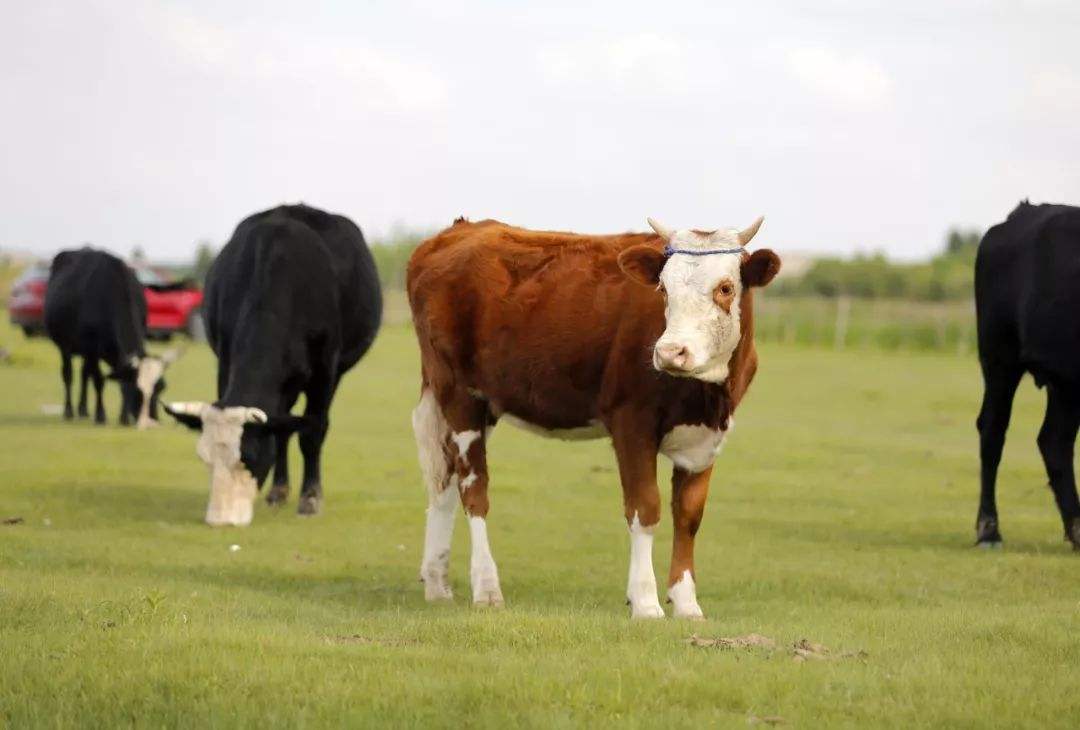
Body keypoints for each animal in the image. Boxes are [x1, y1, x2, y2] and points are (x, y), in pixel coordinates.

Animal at [43, 248, 177, 427]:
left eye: (160, 388)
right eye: (139, 391)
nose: (152, 419)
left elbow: (119, 382)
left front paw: (123, 417)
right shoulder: (91, 349)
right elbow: (99, 380)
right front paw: (101, 415)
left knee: (84, 374)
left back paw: (83, 409)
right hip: (64, 346)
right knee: (68, 375)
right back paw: (69, 411)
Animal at [159, 201, 380, 526]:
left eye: (248, 456)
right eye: (205, 459)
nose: (220, 520)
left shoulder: (325, 370)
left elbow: (312, 431)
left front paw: (310, 498)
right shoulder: (226, 360)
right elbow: (281, 430)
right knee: (283, 427)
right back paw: (278, 490)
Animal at [406, 214, 777, 617]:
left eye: (725, 288)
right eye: (663, 288)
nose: (669, 352)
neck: (706, 396)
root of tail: (460, 230)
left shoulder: (707, 438)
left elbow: (688, 516)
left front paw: (686, 602)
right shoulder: (631, 422)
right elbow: (645, 508)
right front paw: (645, 602)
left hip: (476, 404)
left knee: (445, 482)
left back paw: (437, 582)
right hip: (460, 396)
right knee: (473, 489)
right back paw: (486, 587)